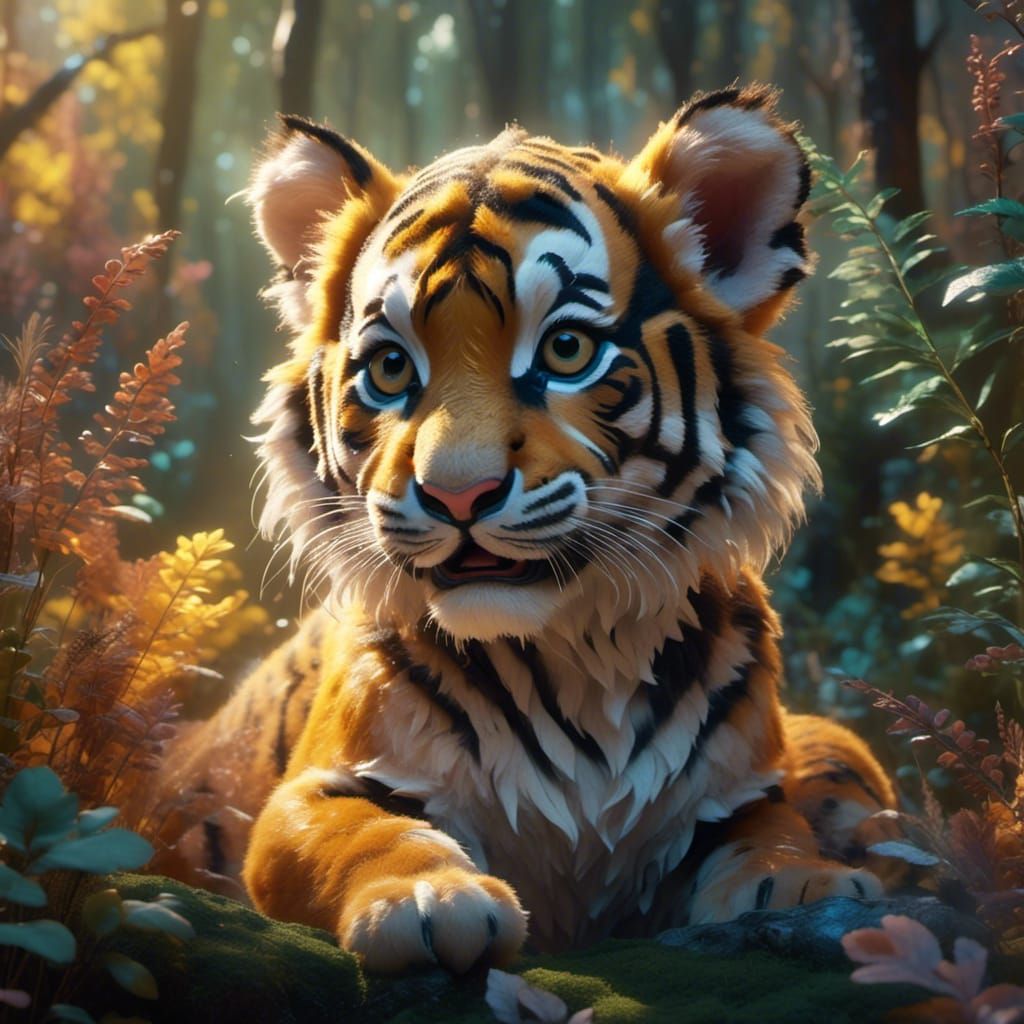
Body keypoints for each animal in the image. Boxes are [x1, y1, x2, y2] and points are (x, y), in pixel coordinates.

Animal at [152, 85, 900, 974]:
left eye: (567, 349)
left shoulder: (742, 786)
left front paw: (805, 881)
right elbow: (361, 831)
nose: (457, 493)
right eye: (392, 367)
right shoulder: (308, 795)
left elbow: (770, 823)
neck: (578, 663)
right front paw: (426, 898)